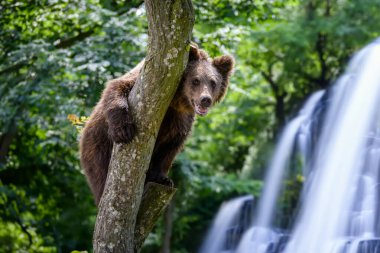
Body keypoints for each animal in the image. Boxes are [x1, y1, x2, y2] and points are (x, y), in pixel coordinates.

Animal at [80, 45, 235, 205]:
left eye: (213, 82)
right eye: (195, 80)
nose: (205, 99)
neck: (175, 101)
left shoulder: (180, 120)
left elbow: (169, 148)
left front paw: (163, 179)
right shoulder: (142, 83)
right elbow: (117, 87)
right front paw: (123, 130)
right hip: (97, 146)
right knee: (100, 175)